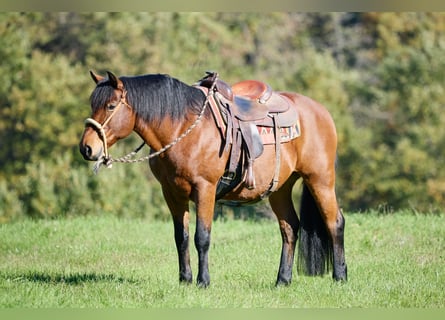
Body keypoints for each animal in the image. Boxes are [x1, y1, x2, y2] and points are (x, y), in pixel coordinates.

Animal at [78, 70, 346, 288]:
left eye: (111, 106)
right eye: (92, 104)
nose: (86, 148)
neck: (183, 128)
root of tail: (320, 111)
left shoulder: (205, 189)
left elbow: (202, 237)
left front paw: (203, 281)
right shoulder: (172, 193)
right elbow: (181, 237)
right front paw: (185, 279)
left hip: (320, 180)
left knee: (335, 223)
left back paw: (340, 276)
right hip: (280, 188)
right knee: (289, 228)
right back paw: (282, 280)